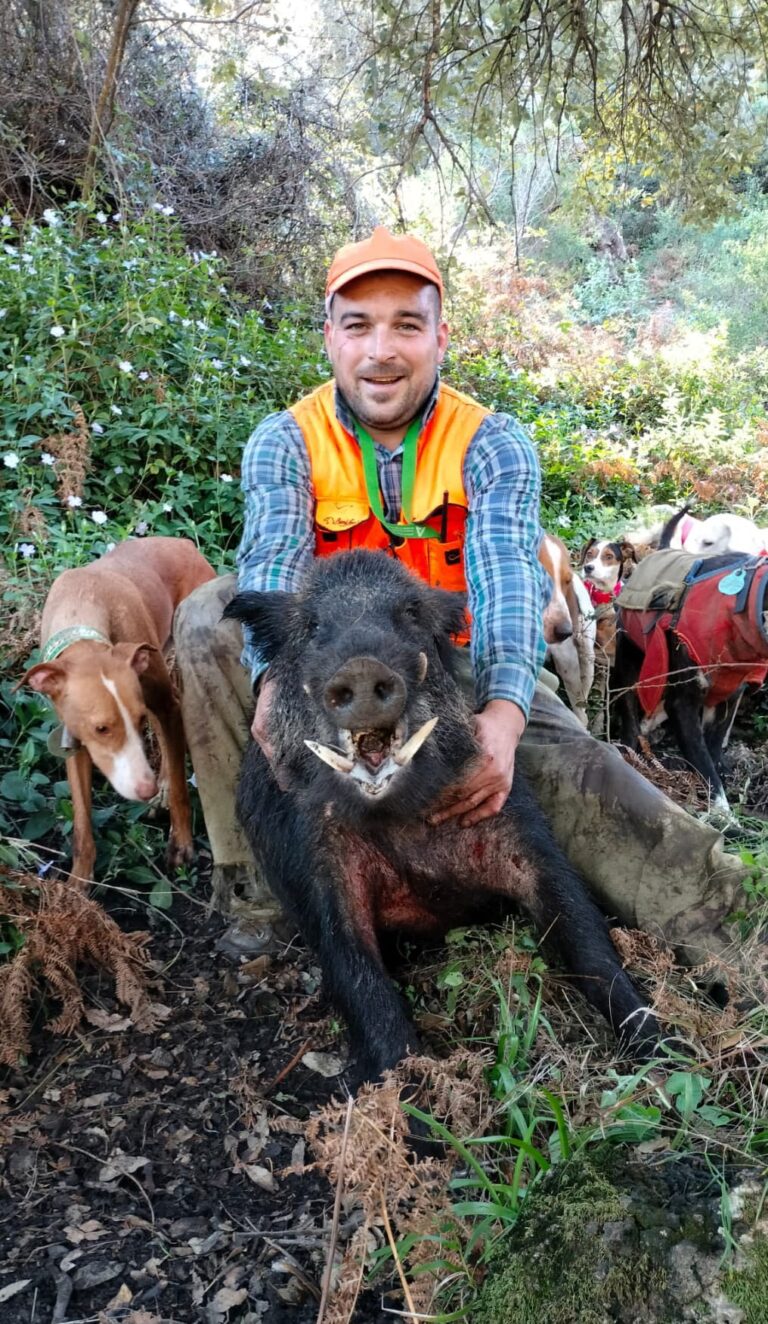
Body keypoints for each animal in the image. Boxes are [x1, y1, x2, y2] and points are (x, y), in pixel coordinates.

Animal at [20, 537, 216, 885]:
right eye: (101, 729)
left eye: (134, 723)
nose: (145, 789)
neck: (82, 607)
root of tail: (183, 542)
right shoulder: (75, 739)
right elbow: (82, 824)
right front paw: (78, 886)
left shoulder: (164, 705)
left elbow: (181, 787)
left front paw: (181, 845)